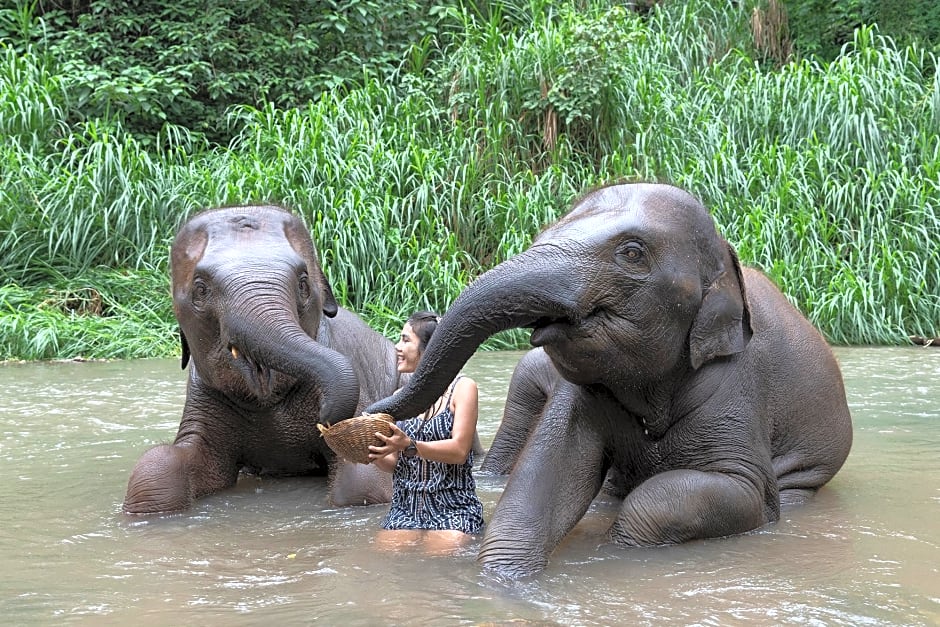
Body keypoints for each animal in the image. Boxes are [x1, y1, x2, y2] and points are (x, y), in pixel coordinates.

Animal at [123, 204, 400, 514]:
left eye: (303, 283)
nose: (324, 416)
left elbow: (362, 481)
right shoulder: (203, 397)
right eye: (200, 289)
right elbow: (157, 470)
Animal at [365, 182, 854, 578]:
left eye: (632, 253)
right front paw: (502, 583)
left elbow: (739, 495)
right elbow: (543, 479)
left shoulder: (738, 384)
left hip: (809, 470)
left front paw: (618, 550)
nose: (369, 413)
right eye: (539, 238)